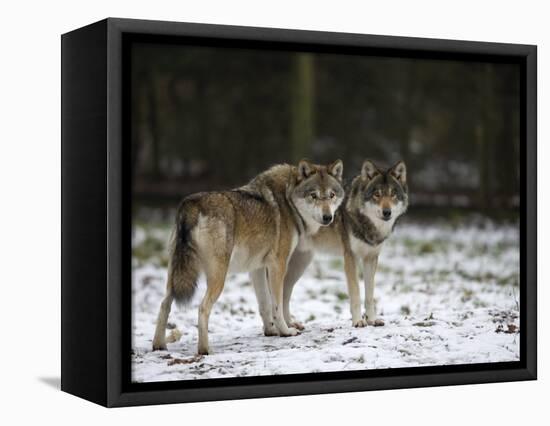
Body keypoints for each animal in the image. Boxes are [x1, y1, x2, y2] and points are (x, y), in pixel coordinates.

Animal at [151, 159, 348, 352]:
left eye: (331, 195)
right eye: (313, 195)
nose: (328, 217)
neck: (288, 199)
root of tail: (191, 204)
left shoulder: (258, 268)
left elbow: (264, 304)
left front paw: (270, 331)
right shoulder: (278, 264)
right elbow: (276, 304)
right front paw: (285, 331)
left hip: (176, 277)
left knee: (164, 304)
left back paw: (159, 346)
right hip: (218, 277)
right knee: (202, 308)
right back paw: (205, 350)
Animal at [256, 160, 408, 330]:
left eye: (393, 194)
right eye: (377, 194)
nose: (387, 212)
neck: (368, 224)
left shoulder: (371, 258)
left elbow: (370, 295)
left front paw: (372, 320)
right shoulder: (350, 257)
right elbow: (355, 293)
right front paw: (358, 321)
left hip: (300, 265)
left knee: (284, 295)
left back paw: (289, 324)